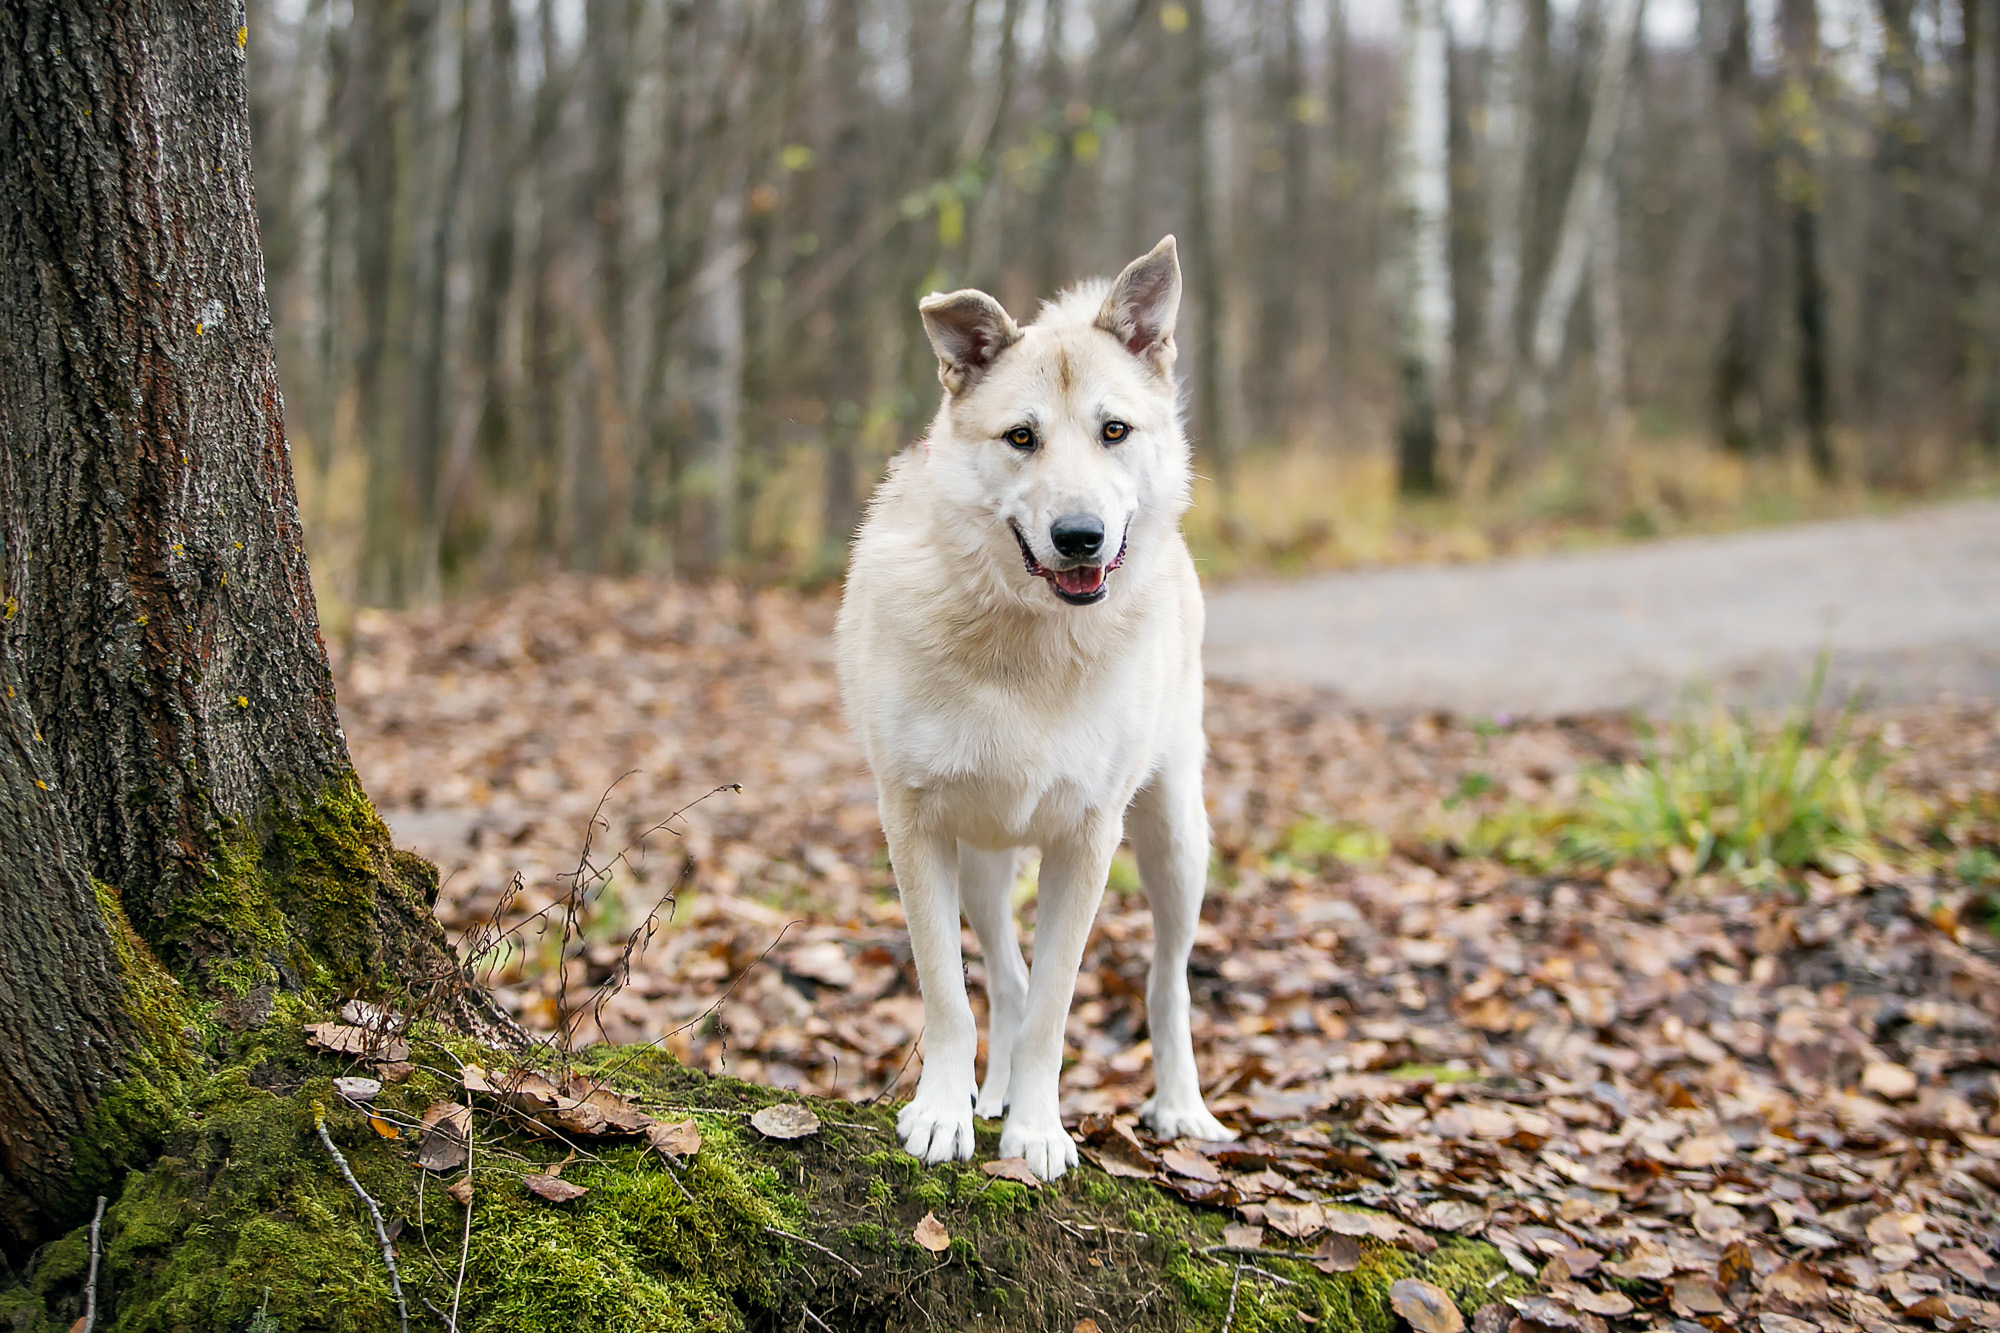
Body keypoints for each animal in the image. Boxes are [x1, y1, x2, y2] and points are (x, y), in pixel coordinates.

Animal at [832, 236, 1232, 1176]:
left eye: (1114, 430)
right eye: (1022, 437)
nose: (1080, 536)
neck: (1028, 639)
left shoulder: (1088, 836)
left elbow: (1056, 1003)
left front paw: (1038, 1133)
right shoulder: (915, 824)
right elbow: (951, 991)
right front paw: (946, 1113)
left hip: (1174, 835)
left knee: (1167, 982)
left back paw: (1181, 1107)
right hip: (982, 858)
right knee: (1006, 982)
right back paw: (995, 1091)